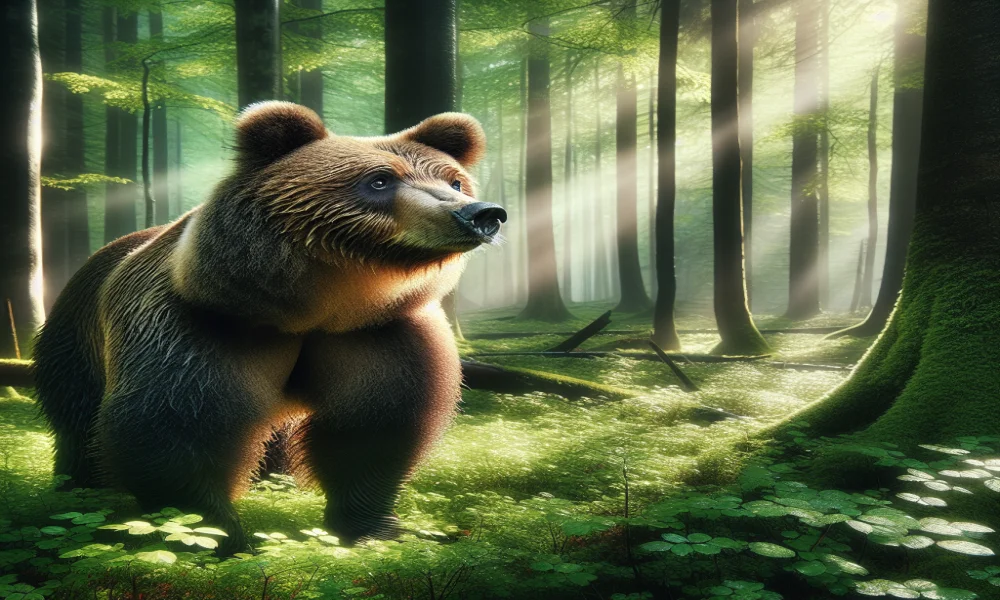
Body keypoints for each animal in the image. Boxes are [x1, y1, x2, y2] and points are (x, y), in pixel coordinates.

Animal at [32, 101, 505, 554]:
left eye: (455, 182)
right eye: (380, 180)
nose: (480, 213)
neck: (316, 305)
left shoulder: (375, 332)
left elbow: (376, 426)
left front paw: (374, 528)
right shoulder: (200, 327)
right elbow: (171, 426)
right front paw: (217, 536)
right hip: (76, 338)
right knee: (77, 420)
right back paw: (79, 490)